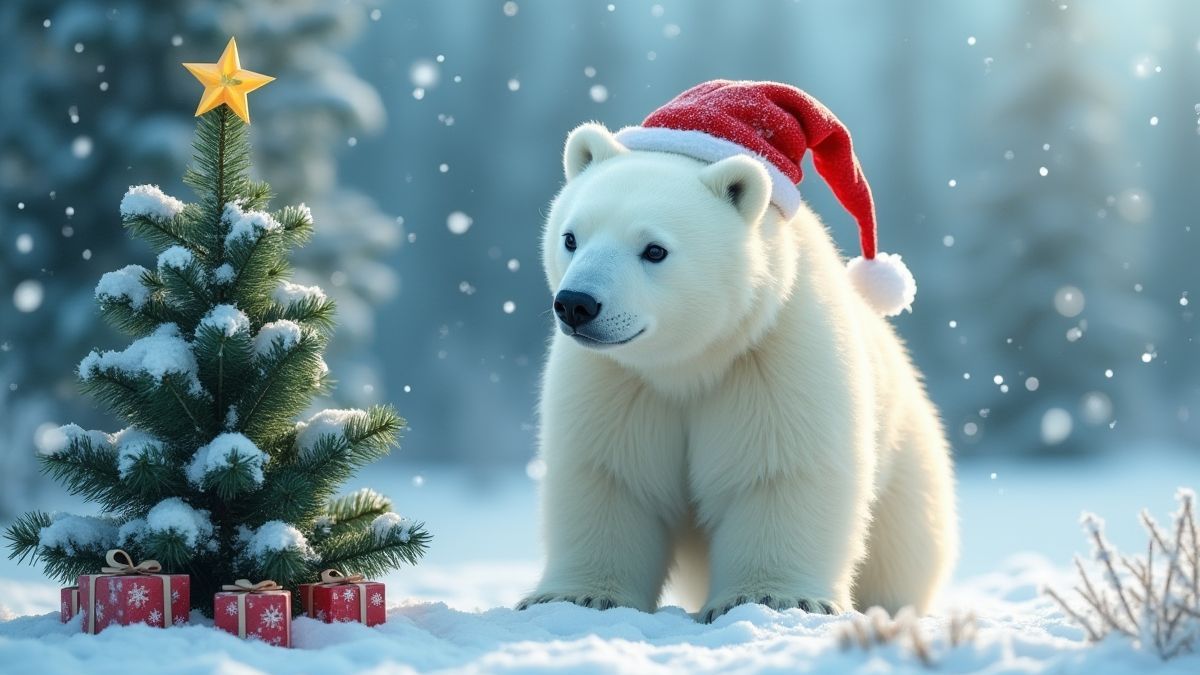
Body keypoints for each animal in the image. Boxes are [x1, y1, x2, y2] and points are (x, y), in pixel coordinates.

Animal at [520, 81, 958, 622]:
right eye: (571, 237)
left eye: (655, 250)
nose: (577, 304)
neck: (692, 362)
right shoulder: (617, 381)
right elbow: (611, 475)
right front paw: (579, 595)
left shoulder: (772, 357)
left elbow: (780, 470)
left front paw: (774, 597)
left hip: (908, 464)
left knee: (902, 549)